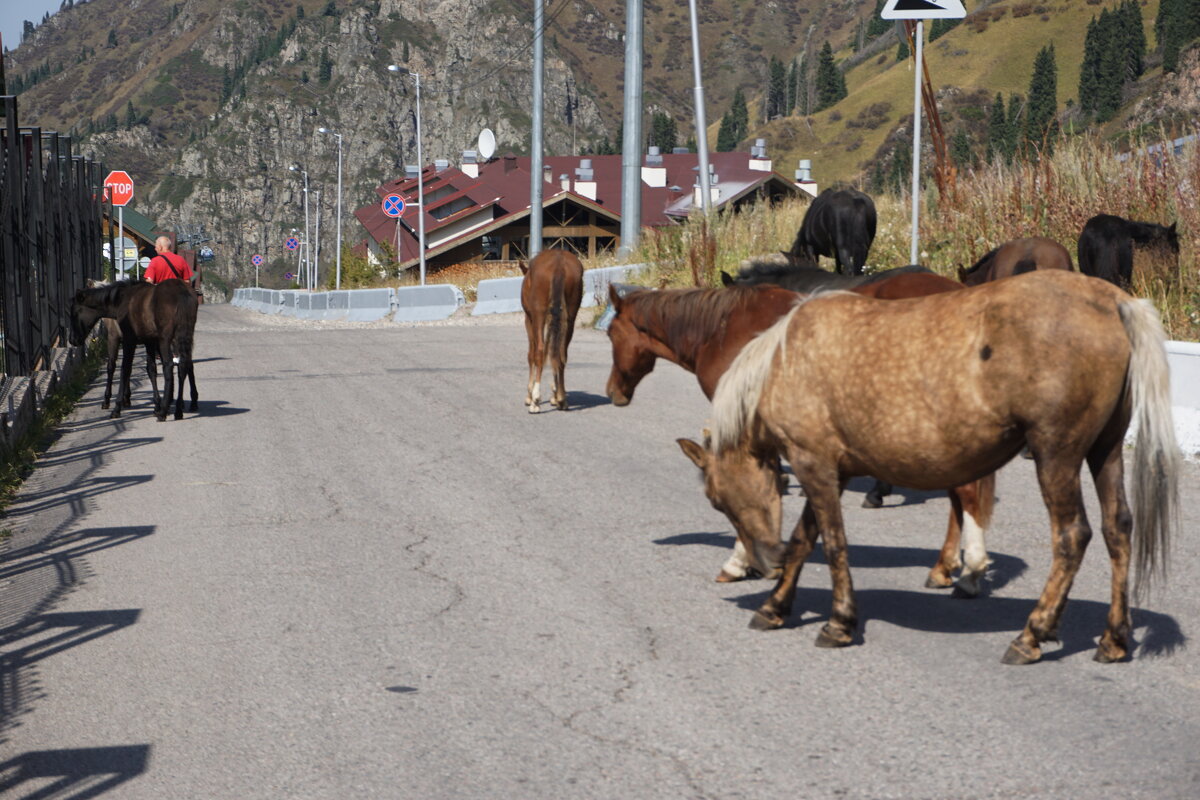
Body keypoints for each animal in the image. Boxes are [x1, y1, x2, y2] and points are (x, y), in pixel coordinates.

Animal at [69, 278, 198, 422]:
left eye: (74, 313)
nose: (72, 340)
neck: (121, 301)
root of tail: (182, 292)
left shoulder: (124, 340)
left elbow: (122, 369)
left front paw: (115, 406)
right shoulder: (148, 341)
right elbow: (150, 369)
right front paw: (156, 405)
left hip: (165, 339)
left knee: (169, 366)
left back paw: (164, 411)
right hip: (183, 336)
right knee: (185, 365)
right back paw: (180, 409)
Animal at [520, 248, 585, 412]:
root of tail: (559, 265)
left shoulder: (529, 320)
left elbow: (532, 354)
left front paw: (529, 395)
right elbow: (553, 351)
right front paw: (555, 394)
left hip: (538, 315)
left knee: (540, 351)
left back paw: (535, 400)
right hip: (570, 316)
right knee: (561, 353)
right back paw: (561, 398)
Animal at [609, 272, 993, 597]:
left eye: (611, 333)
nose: (613, 391)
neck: (721, 330)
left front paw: (741, 562)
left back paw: (968, 572)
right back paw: (944, 568)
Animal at [705, 272, 1176, 666]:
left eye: (717, 500)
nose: (763, 563)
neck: (783, 363)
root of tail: (1114, 300)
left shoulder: (813, 464)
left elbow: (833, 544)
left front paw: (838, 623)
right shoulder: (832, 472)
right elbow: (805, 538)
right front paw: (775, 606)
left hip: (1056, 454)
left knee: (1072, 536)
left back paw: (1032, 634)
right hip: (1105, 450)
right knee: (1118, 529)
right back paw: (1113, 639)